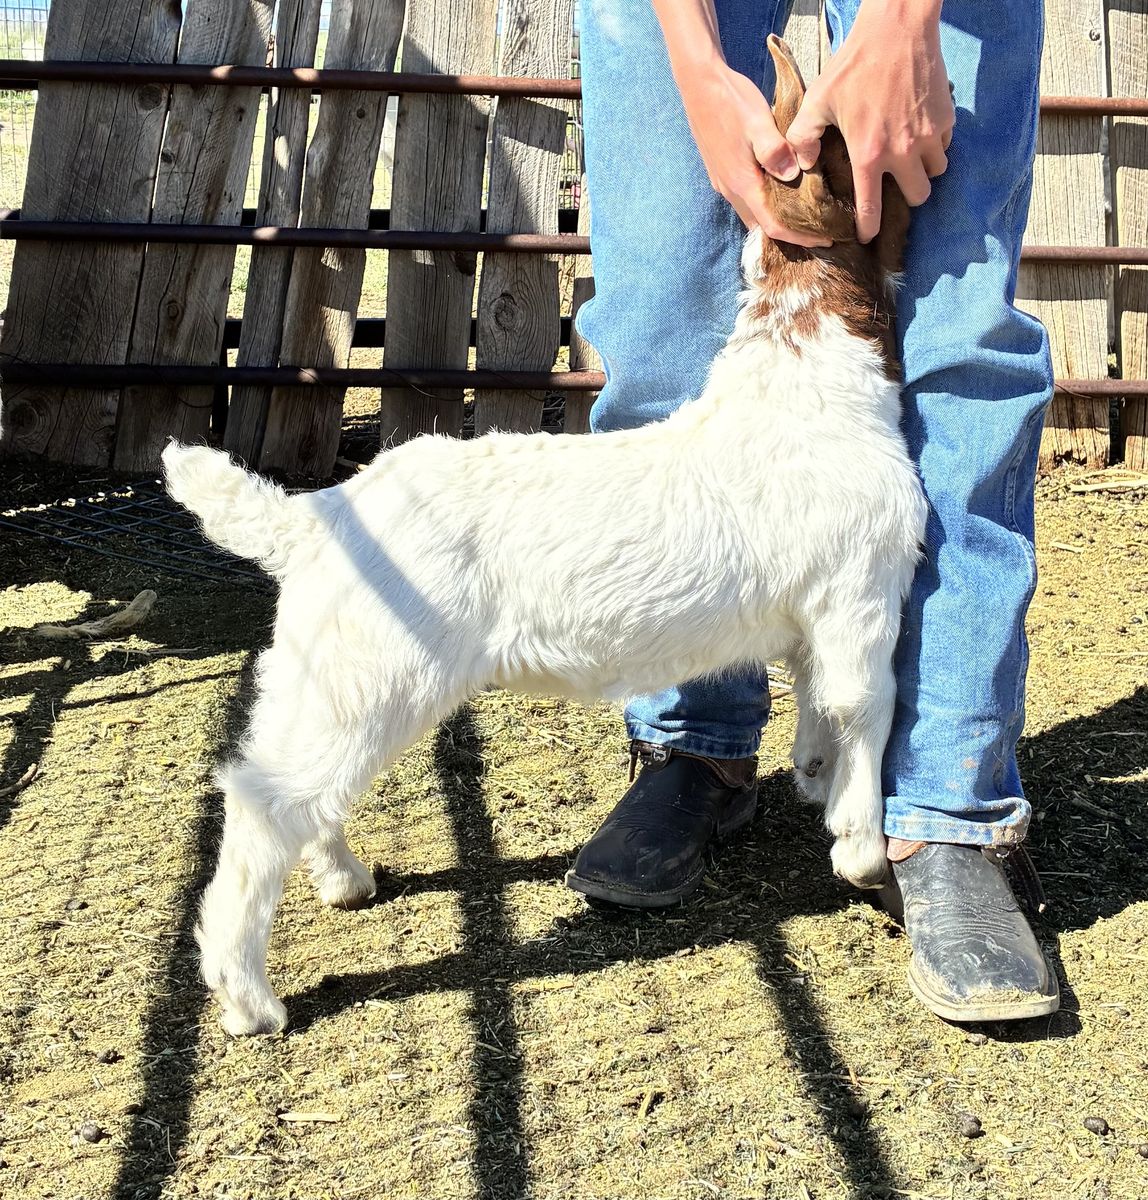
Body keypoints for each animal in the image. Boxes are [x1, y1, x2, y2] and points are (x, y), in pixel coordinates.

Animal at [163, 36, 927, 1036]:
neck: (809, 377)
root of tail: (318, 516)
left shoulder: (809, 615)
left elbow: (817, 700)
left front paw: (812, 774)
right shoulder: (860, 593)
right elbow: (868, 706)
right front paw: (862, 848)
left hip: (318, 673)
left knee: (289, 787)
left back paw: (342, 880)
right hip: (373, 673)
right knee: (265, 805)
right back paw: (250, 997)